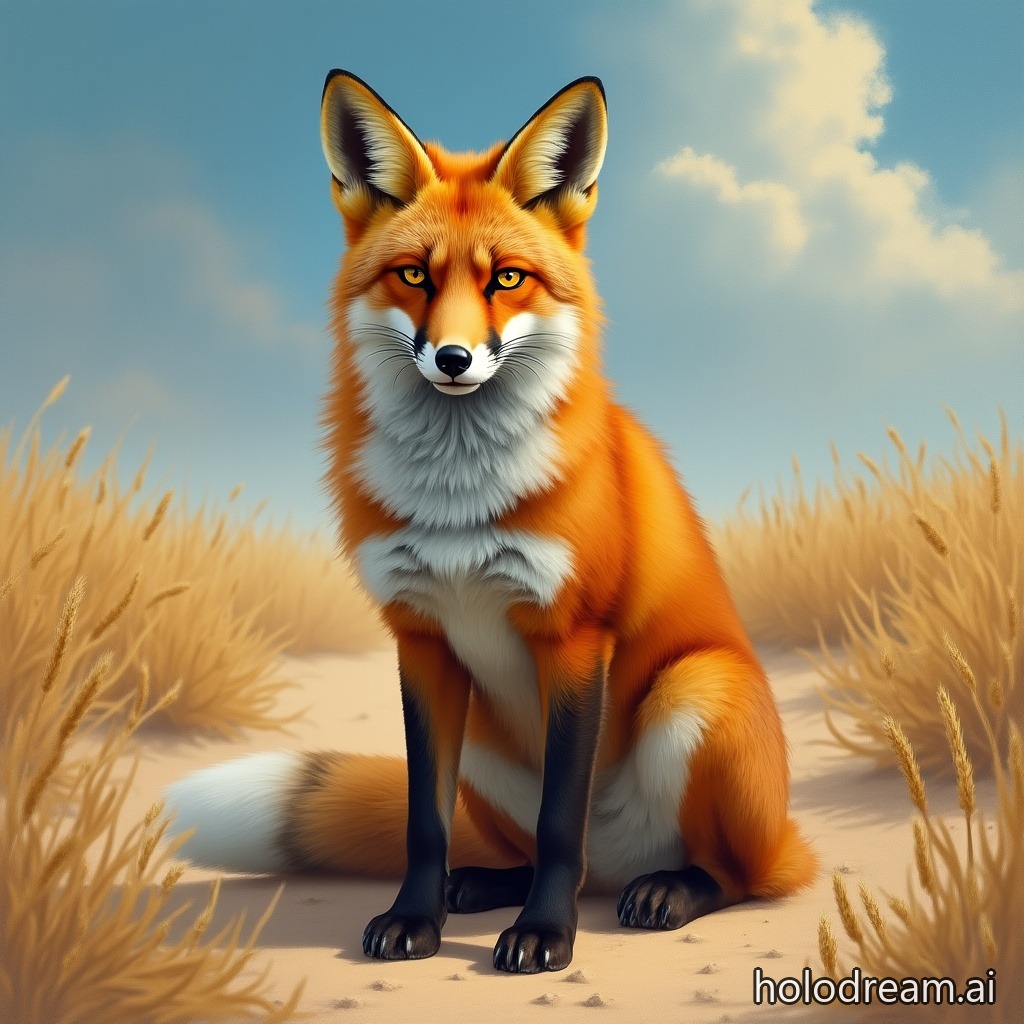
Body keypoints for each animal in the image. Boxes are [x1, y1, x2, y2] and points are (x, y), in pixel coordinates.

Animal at [165, 70, 817, 975]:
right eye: (414, 276)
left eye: (506, 280)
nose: (452, 359)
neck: (459, 506)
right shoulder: (421, 640)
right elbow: (424, 822)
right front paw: (415, 918)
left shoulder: (573, 637)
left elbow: (559, 823)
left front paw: (545, 936)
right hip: (483, 737)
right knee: (533, 853)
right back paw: (479, 886)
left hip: (694, 692)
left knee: (728, 873)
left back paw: (666, 892)